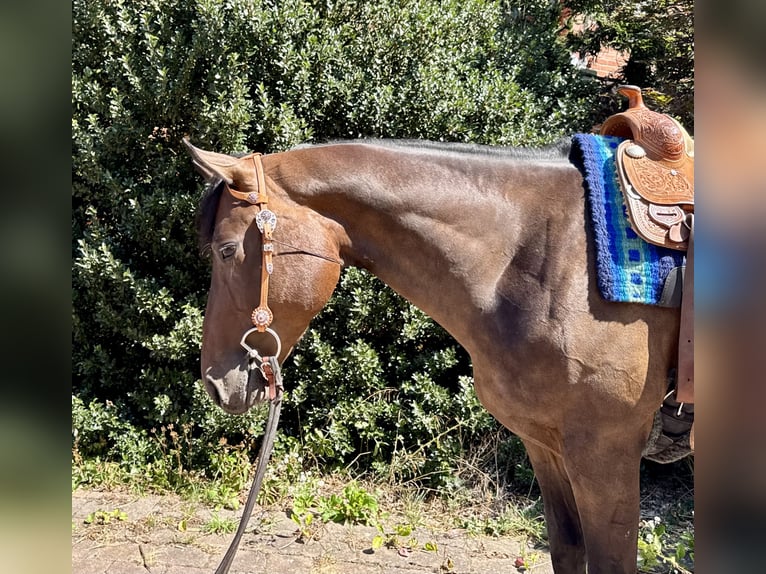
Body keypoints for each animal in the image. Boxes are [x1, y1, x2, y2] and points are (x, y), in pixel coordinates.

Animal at [185, 136, 681, 574]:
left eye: (226, 250)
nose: (214, 382)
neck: (550, 259)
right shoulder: (546, 447)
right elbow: (566, 549)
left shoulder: (605, 453)